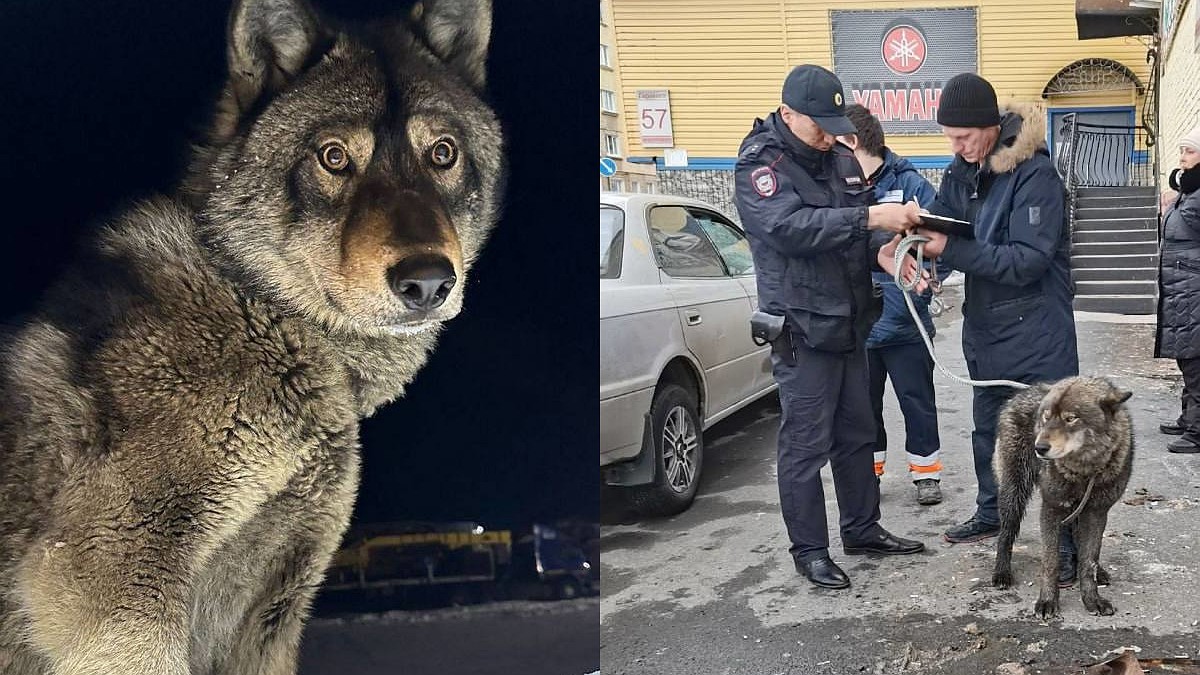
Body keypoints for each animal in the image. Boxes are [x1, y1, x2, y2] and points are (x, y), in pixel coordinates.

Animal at [0, 2, 501, 667]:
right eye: (334, 157)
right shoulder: (112, 592)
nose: (427, 282)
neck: (262, 311)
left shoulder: (271, 613)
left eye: (443, 153)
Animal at [988, 374, 1128, 619]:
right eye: (1045, 418)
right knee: (1005, 534)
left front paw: (1092, 599)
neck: (1084, 469)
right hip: (1014, 495)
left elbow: (1089, 560)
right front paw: (1047, 601)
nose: (1039, 447)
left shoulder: (1096, 512)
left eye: (1070, 418)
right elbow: (1050, 562)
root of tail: (1020, 394)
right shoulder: (1051, 509)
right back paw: (1002, 572)